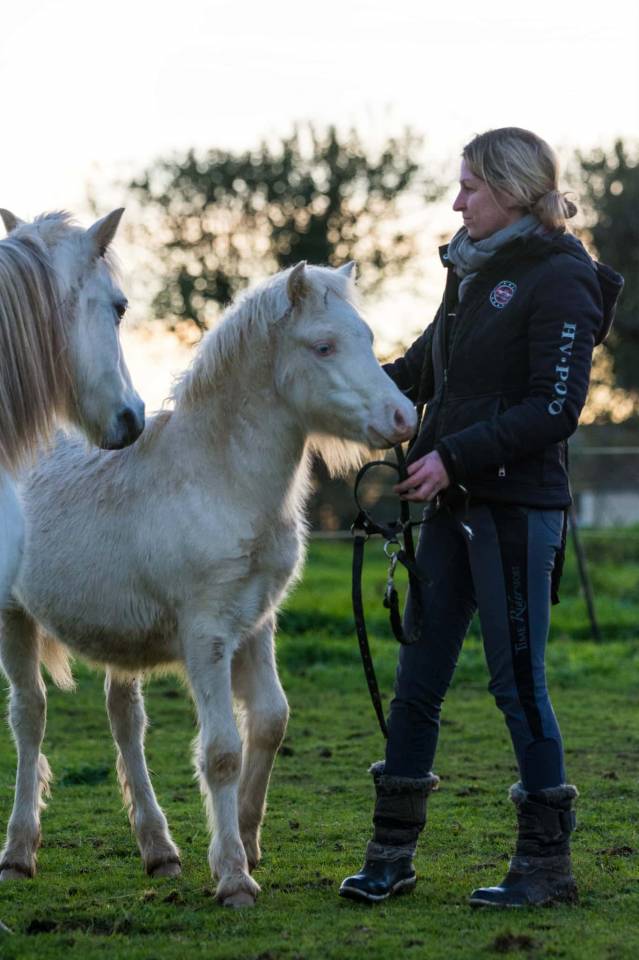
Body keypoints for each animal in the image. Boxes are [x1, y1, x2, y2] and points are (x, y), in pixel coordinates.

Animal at [0, 260, 417, 907]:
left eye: (369, 338)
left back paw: (158, 850)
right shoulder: (208, 634)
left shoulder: (257, 623)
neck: (220, 480)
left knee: (124, 719)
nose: (403, 419)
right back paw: (19, 853)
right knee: (30, 716)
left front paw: (246, 839)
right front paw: (233, 877)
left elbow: (270, 721)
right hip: (12, 616)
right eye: (323, 345)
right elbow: (221, 750)